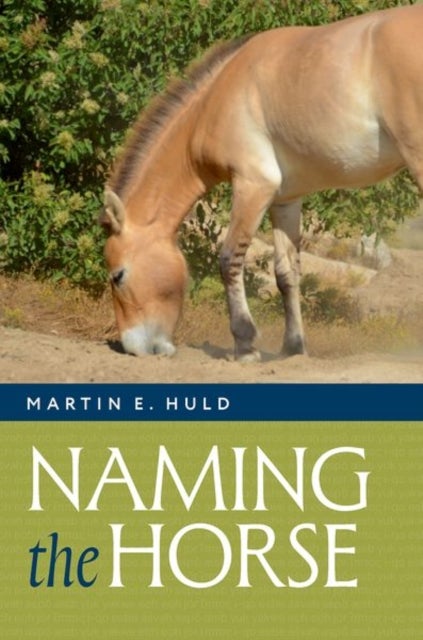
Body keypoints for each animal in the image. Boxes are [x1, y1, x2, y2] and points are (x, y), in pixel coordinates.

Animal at [100, 4, 423, 361]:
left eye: (118, 276)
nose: (133, 348)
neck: (215, 99)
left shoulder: (253, 185)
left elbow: (229, 259)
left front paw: (245, 344)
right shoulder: (285, 199)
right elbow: (287, 273)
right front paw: (293, 347)